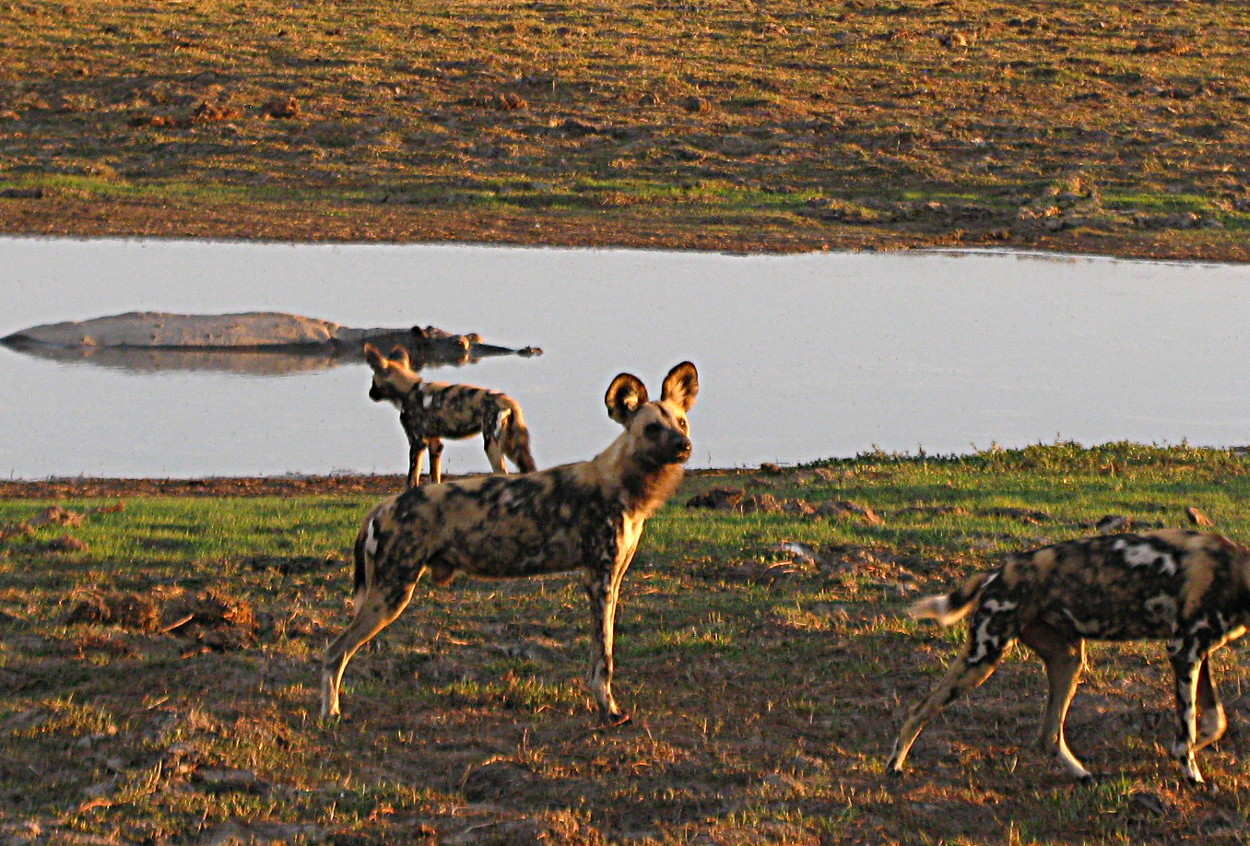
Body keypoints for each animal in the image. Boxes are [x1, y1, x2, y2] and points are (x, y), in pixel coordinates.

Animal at [322, 359, 700, 724]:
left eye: (682, 423)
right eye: (652, 428)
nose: (684, 446)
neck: (623, 482)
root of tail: (382, 505)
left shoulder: (614, 579)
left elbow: (603, 652)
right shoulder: (599, 581)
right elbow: (604, 658)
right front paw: (609, 711)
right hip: (391, 595)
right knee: (334, 651)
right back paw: (331, 714)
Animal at [362, 339, 537, 484]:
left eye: (372, 381)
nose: (370, 394)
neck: (409, 390)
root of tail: (506, 399)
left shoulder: (417, 443)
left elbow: (412, 479)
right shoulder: (435, 443)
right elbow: (435, 477)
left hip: (492, 443)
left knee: (502, 473)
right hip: (513, 446)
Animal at [890, 532, 1250, 779]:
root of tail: (997, 572)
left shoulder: (1198, 654)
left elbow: (1215, 721)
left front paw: (1190, 750)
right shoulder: (1183, 651)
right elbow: (1188, 726)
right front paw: (1191, 773)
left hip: (1068, 661)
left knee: (1048, 736)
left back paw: (1081, 774)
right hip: (983, 658)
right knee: (919, 709)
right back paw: (895, 766)